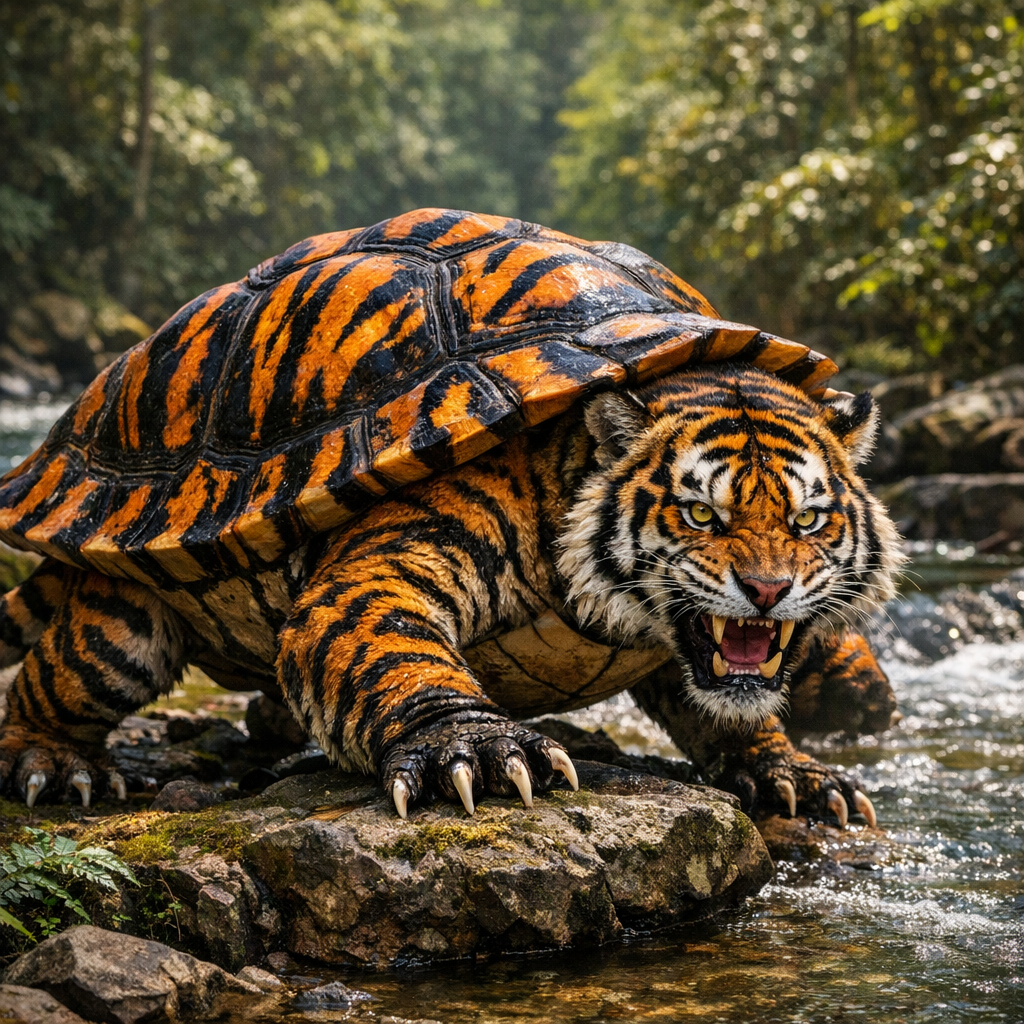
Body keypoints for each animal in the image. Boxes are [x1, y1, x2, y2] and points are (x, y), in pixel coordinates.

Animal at [0, 363, 900, 825]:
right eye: (701, 513)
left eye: (810, 518)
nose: (768, 590)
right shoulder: (392, 556)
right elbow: (392, 649)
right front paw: (483, 754)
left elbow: (729, 710)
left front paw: (798, 776)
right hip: (120, 610)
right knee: (59, 678)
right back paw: (52, 768)